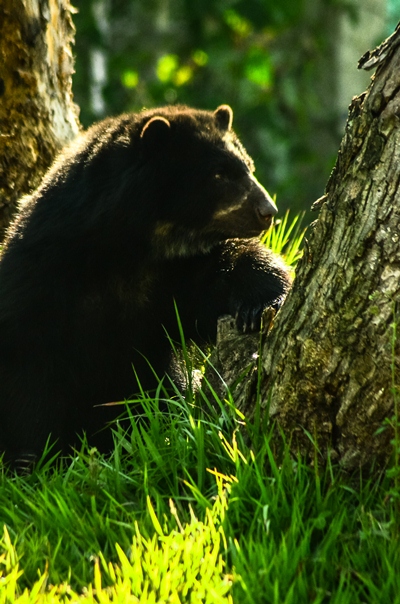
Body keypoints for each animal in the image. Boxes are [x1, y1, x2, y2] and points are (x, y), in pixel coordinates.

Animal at [0, 106, 290, 470]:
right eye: (219, 174)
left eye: (248, 166)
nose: (269, 211)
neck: (134, 249)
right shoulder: (41, 275)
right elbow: (28, 373)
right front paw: (31, 460)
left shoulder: (177, 279)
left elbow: (229, 271)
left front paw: (261, 303)